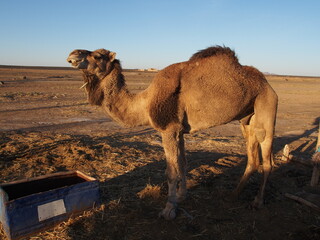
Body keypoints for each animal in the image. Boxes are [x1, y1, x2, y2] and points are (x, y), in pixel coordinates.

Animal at [67, 46, 278, 220]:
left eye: (97, 55)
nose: (73, 54)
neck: (144, 103)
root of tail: (267, 84)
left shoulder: (168, 129)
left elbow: (171, 171)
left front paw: (169, 209)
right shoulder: (180, 131)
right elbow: (182, 164)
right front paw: (183, 195)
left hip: (266, 108)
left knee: (267, 160)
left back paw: (257, 202)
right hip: (247, 119)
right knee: (253, 158)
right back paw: (233, 195)